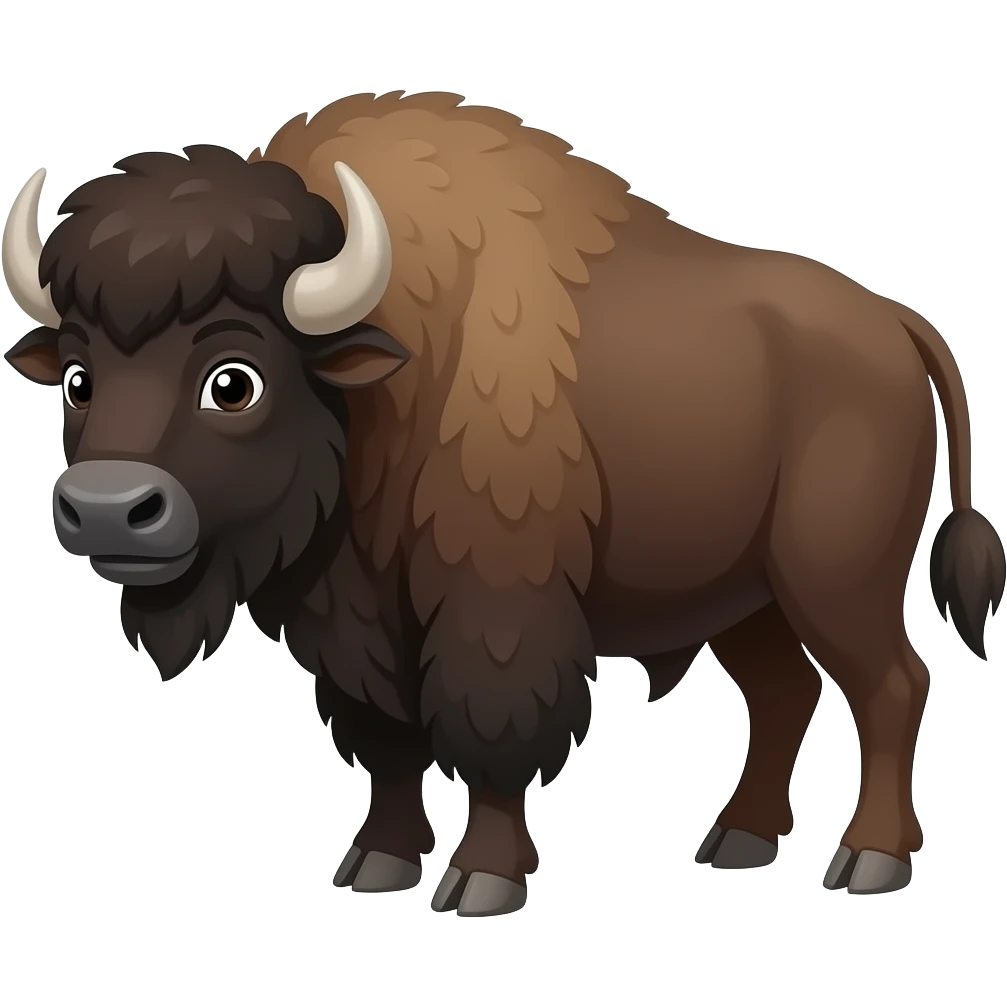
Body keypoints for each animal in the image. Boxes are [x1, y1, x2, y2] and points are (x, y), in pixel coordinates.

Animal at [3, 90, 1003, 913]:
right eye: (79, 378)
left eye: (233, 380)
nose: (106, 509)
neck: (388, 375)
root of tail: (893, 323)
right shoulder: (353, 623)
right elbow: (388, 745)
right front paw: (376, 865)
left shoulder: (492, 605)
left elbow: (489, 727)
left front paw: (480, 880)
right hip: (744, 597)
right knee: (785, 691)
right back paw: (738, 842)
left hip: (834, 583)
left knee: (891, 684)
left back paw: (868, 862)